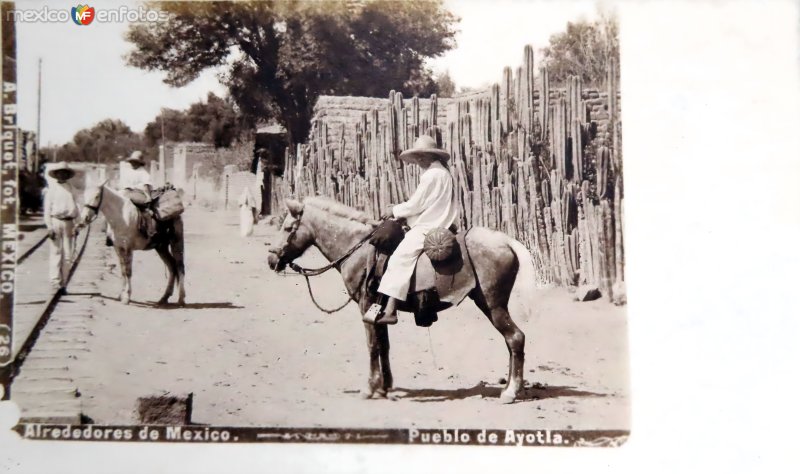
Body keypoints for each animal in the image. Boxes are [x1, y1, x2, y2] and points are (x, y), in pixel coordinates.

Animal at [266, 196, 536, 404]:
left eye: (288, 228)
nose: (271, 260)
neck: (359, 249)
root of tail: (506, 241)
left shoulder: (366, 307)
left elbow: (372, 346)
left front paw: (370, 388)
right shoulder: (378, 310)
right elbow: (384, 345)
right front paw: (385, 387)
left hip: (493, 305)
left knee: (515, 338)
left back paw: (511, 392)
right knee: (511, 342)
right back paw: (511, 388)